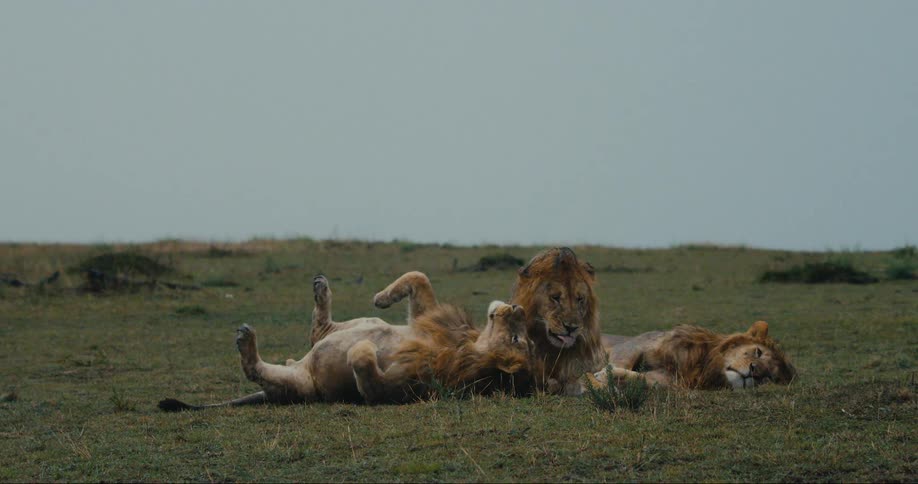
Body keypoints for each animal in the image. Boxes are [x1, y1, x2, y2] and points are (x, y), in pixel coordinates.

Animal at [158, 274, 530, 410]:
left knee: (259, 369)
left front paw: (364, 351)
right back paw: (322, 288)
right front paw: (382, 296)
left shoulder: (397, 388)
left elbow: (365, 363)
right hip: (355, 326)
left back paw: (246, 339)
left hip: (301, 385)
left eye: (518, 338)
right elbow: (419, 278)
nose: (519, 307)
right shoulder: (424, 319)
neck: (464, 344)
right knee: (322, 330)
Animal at [587, 321, 796, 390]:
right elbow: (621, 362)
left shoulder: (667, 380)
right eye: (758, 352)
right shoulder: (635, 344)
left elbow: (641, 379)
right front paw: (600, 377)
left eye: (770, 377)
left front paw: (604, 379)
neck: (702, 364)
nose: (755, 372)